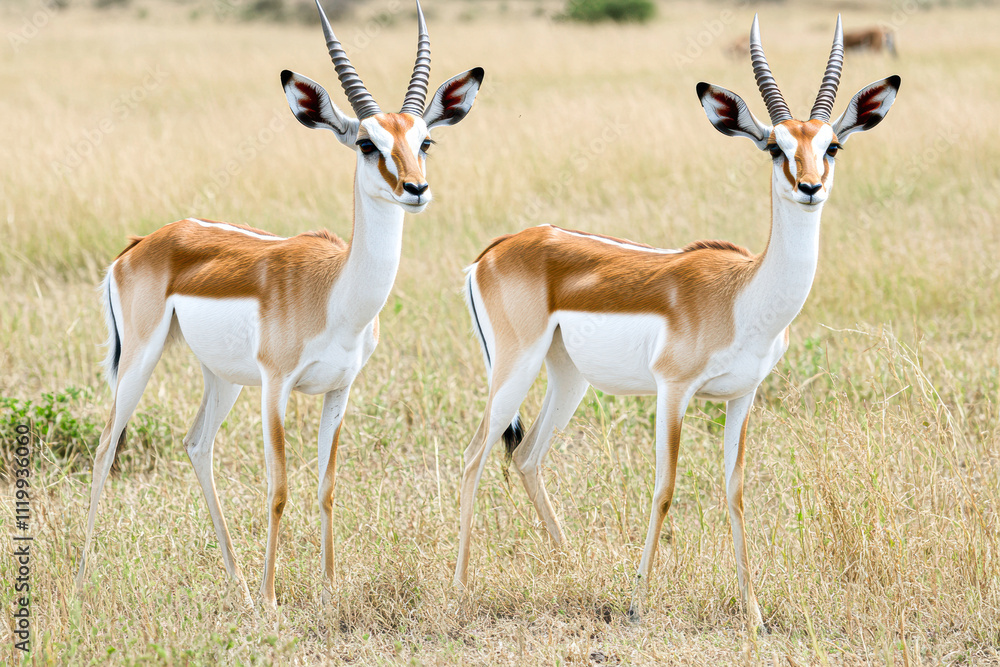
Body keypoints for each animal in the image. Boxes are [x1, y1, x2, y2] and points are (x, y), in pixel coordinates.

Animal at [75, 0, 484, 609]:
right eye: (367, 143)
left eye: (424, 142)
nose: (415, 189)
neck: (335, 295)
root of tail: (142, 243)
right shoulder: (275, 386)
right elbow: (279, 488)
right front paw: (272, 599)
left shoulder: (340, 389)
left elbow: (327, 486)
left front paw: (329, 588)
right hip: (141, 360)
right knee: (106, 447)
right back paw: (84, 582)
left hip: (221, 377)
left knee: (197, 444)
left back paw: (237, 583)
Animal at [454, 15, 898, 630]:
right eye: (774, 147)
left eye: (830, 144)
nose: (810, 187)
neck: (742, 296)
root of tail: (493, 251)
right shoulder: (673, 390)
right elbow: (664, 489)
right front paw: (638, 606)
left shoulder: (743, 395)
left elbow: (735, 491)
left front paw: (754, 615)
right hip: (513, 369)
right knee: (475, 455)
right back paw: (458, 589)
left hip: (567, 378)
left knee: (526, 455)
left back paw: (571, 570)